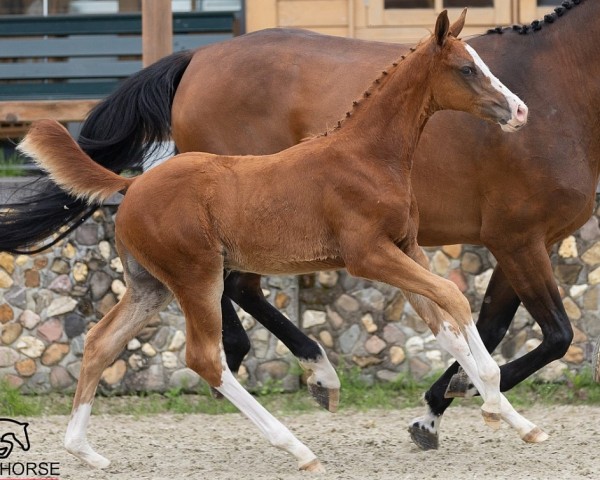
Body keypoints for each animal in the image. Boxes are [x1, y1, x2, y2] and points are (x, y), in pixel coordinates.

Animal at [2, 0, 596, 450]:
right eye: (467, 69)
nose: (519, 111)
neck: (365, 153)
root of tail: (135, 185)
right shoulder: (416, 250)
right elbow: (493, 316)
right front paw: (466, 397)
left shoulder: (422, 247)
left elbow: (463, 323)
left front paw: (473, 407)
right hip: (197, 271)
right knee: (211, 343)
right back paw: (298, 422)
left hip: (152, 284)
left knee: (105, 342)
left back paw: (86, 448)